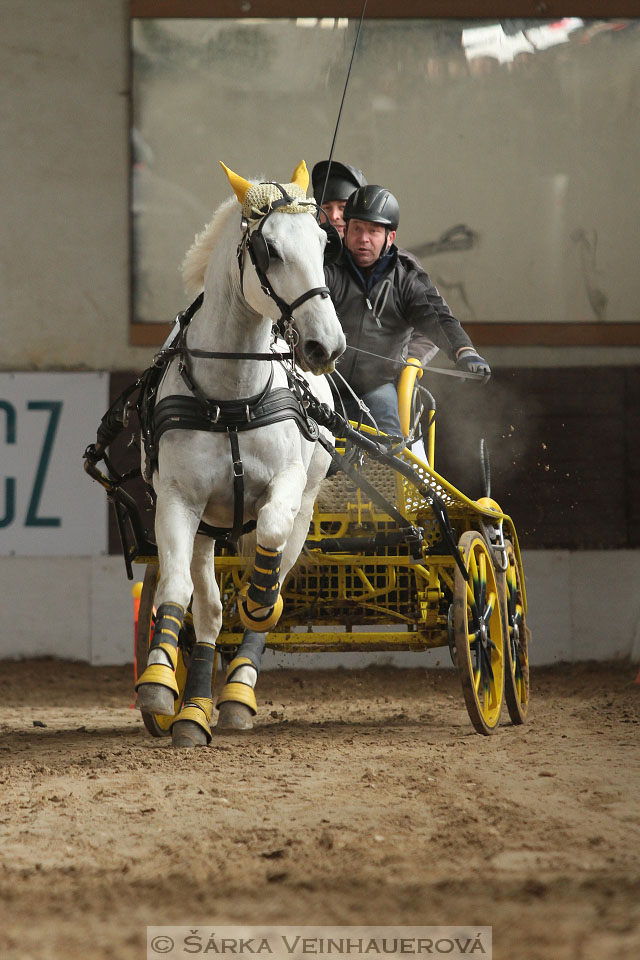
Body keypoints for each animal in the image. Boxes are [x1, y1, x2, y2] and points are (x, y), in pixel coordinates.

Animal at [135, 158, 344, 748]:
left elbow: (267, 563)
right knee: (206, 610)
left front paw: (257, 600)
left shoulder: (287, 487)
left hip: (305, 508)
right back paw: (194, 709)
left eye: (324, 241)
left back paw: (236, 691)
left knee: (272, 582)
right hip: (211, 526)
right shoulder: (178, 501)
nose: (326, 345)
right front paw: (159, 681)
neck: (231, 398)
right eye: (268, 248)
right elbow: (177, 590)